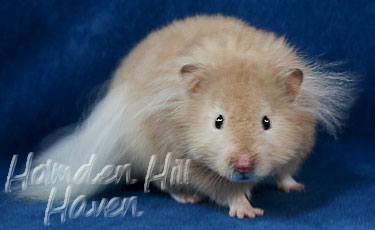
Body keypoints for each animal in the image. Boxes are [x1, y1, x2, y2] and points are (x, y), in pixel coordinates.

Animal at [16, 15, 356, 218]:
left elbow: (286, 170)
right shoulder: (191, 164)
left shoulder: (300, 143)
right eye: (218, 121)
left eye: (267, 122)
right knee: (163, 184)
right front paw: (248, 211)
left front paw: (295, 187)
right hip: (152, 157)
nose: (244, 165)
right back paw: (189, 198)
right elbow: (227, 191)